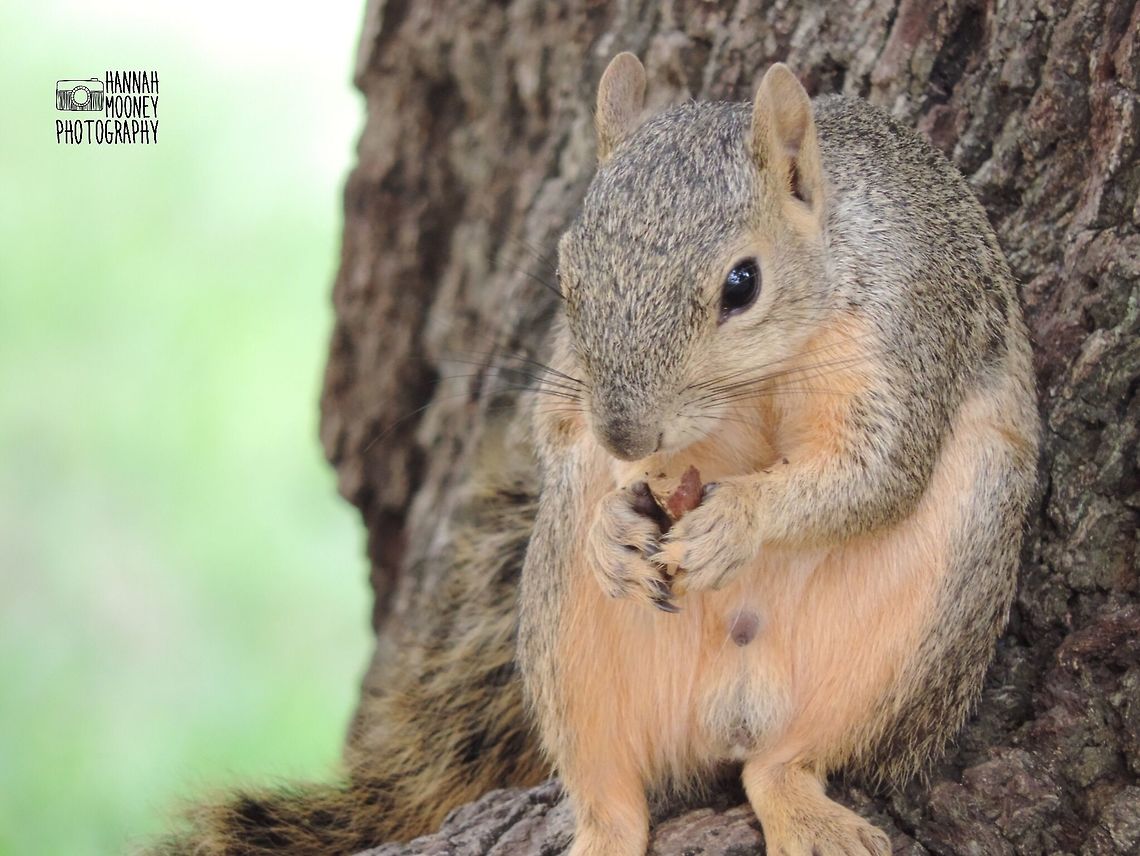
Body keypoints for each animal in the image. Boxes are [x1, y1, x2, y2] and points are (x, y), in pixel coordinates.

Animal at [151, 54, 1038, 856]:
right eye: (568, 275)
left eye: (743, 284)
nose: (627, 436)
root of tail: (731, 705)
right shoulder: (569, 376)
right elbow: (556, 429)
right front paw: (615, 516)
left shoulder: (907, 326)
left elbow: (880, 471)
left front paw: (736, 522)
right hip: (567, 634)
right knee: (608, 787)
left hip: (924, 628)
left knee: (782, 765)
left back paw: (809, 817)